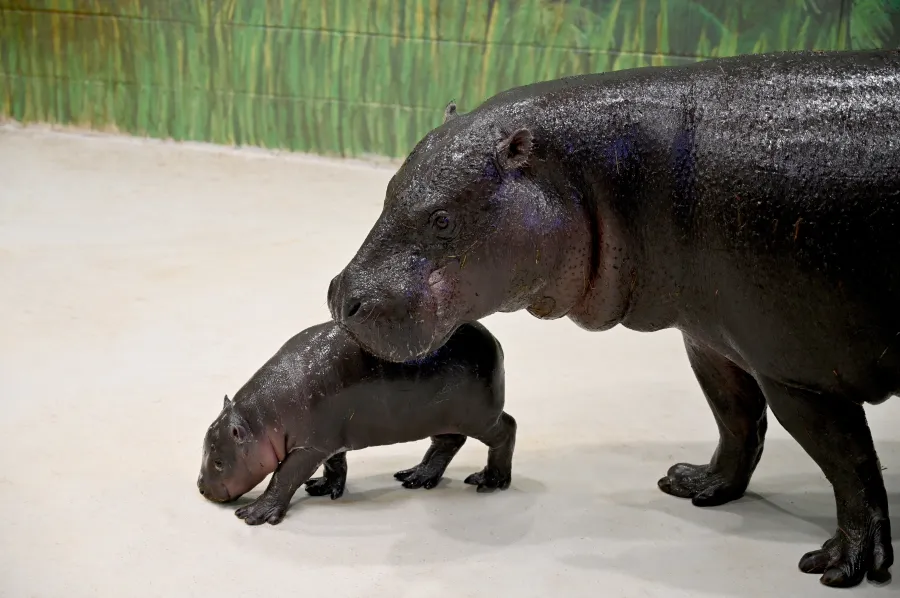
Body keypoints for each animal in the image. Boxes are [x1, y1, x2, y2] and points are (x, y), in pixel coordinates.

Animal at [197, 320, 515, 526]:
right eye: (205, 448)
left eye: (219, 462)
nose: (200, 488)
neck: (261, 420)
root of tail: (495, 340)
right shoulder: (328, 441)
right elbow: (335, 464)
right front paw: (322, 487)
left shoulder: (309, 448)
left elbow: (284, 476)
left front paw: (254, 515)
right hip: (444, 418)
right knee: (447, 443)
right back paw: (415, 477)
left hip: (480, 417)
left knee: (506, 428)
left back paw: (490, 481)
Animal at [327, 49, 900, 587]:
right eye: (389, 188)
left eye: (443, 220)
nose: (341, 297)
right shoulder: (710, 339)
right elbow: (736, 418)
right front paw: (694, 485)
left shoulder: (797, 373)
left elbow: (848, 462)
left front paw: (842, 567)